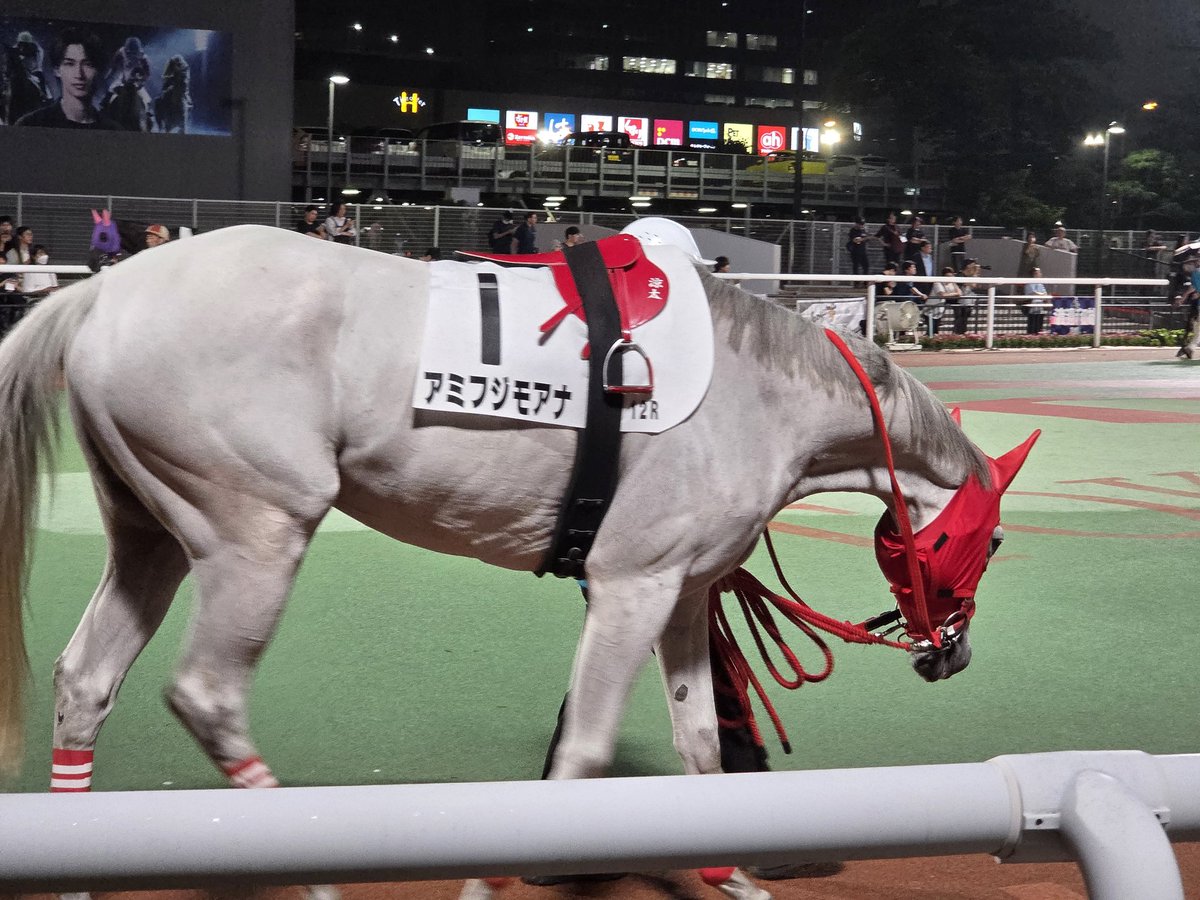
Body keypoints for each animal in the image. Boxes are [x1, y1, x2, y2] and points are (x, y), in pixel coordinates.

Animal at [0, 224, 1035, 893]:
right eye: (992, 540)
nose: (952, 652)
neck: (763, 395)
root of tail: (103, 289)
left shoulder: (682, 590)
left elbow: (702, 739)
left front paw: (730, 869)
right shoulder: (631, 585)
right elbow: (581, 754)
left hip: (149, 530)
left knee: (87, 679)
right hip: (256, 526)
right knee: (207, 692)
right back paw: (309, 869)